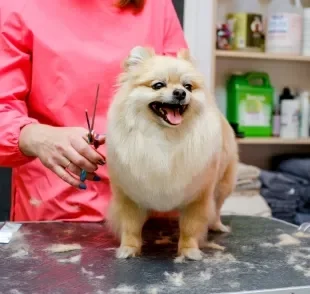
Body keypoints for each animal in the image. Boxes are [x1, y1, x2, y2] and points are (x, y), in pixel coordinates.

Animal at [105, 46, 239, 260]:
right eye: (158, 85)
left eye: (188, 86)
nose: (180, 92)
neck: (165, 138)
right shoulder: (129, 195)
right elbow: (130, 226)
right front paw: (128, 248)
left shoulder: (198, 196)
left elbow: (190, 227)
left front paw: (189, 251)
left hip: (223, 185)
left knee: (217, 208)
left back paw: (218, 226)